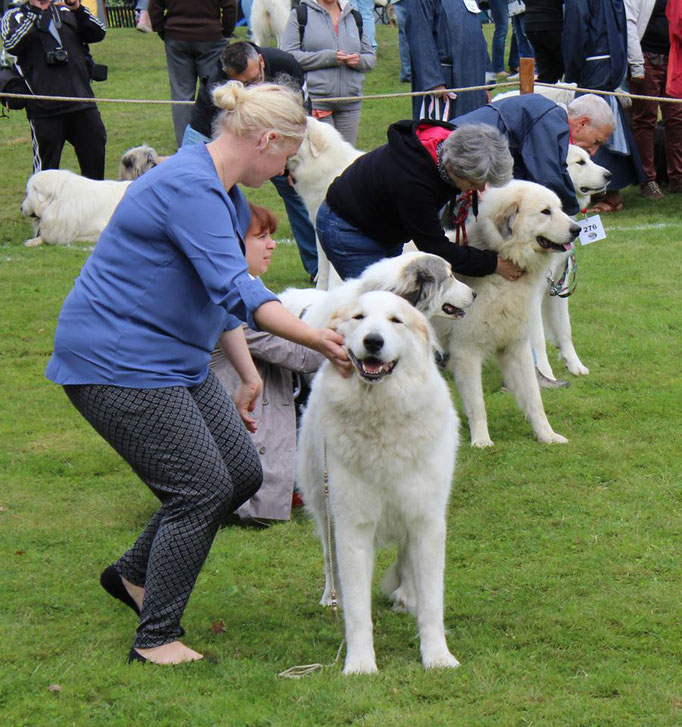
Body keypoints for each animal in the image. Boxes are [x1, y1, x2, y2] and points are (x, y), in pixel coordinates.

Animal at [298, 290, 462, 676]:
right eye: (358, 318)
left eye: (395, 321)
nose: (373, 341)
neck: (381, 413)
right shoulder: (353, 527)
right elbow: (359, 611)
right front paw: (360, 665)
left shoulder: (426, 521)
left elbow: (432, 602)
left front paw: (437, 657)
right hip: (323, 507)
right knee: (329, 558)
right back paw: (332, 597)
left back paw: (406, 595)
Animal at [436, 179, 580, 446]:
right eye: (546, 212)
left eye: (560, 208)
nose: (577, 229)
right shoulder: (466, 351)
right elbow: (477, 404)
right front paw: (481, 441)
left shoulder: (516, 346)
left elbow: (534, 399)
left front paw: (547, 435)